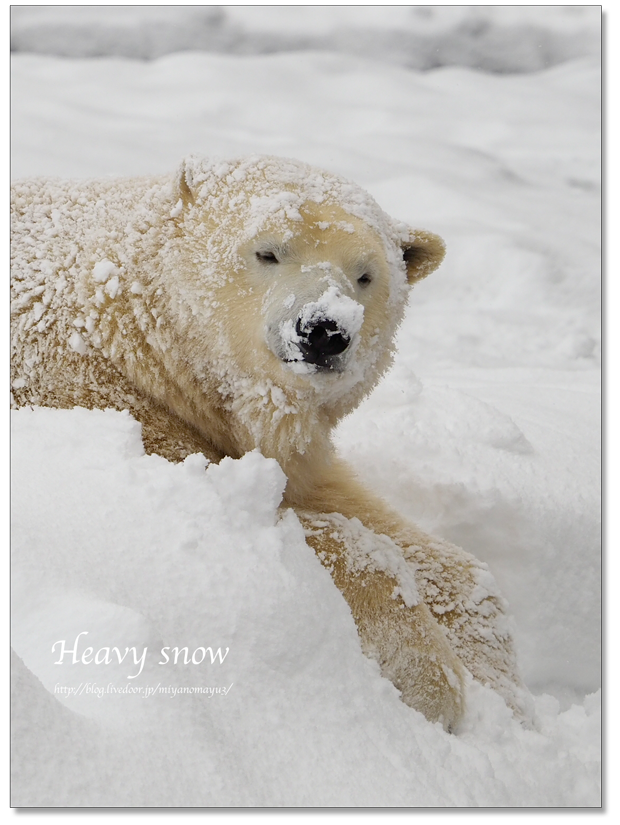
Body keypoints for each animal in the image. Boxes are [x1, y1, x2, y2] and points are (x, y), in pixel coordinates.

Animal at [10, 153, 528, 728]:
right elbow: (292, 524)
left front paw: (503, 694)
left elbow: (424, 550)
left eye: (366, 274)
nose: (324, 330)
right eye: (268, 251)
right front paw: (433, 682)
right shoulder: (99, 402)